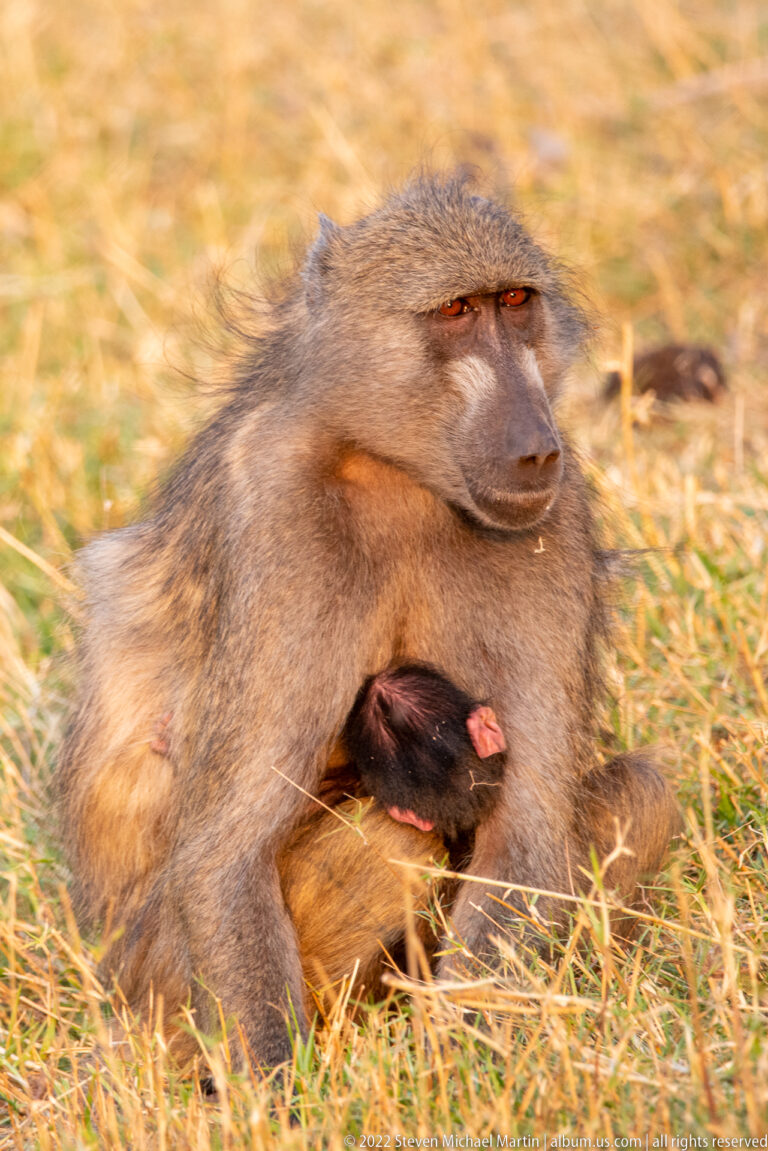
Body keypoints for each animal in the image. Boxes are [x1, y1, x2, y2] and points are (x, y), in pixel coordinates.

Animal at [57, 173, 679, 1071]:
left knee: (641, 794)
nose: (534, 446)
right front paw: (278, 1093)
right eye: (456, 311)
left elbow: (526, 840)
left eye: (515, 301)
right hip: (160, 984)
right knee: (393, 839)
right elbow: (223, 853)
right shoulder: (274, 514)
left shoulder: (551, 520)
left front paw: (464, 1069)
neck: (394, 469)